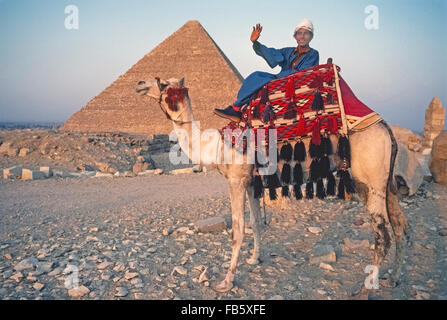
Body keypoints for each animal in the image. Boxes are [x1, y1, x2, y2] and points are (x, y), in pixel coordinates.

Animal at [135, 76, 412, 294]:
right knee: (401, 226)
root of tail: (386, 128)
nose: (139, 83)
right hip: (381, 183)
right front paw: (255, 258)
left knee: (382, 234)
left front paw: (226, 282)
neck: (215, 146)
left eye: (162, 83)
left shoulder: (236, 180)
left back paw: (365, 289)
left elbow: (238, 230)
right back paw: (393, 278)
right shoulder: (250, 182)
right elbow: (256, 222)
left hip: (369, 177)